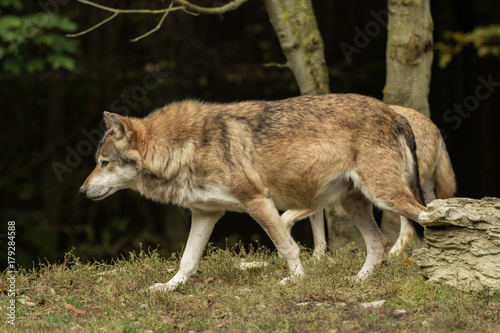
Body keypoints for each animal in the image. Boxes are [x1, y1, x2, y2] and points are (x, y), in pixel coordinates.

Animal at [80, 94, 428, 290]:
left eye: (104, 162)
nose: (82, 192)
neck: (185, 148)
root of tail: (396, 114)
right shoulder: (206, 214)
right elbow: (187, 260)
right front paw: (169, 287)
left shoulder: (258, 201)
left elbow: (288, 248)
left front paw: (296, 281)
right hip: (355, 203)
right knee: (379, 242)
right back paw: (358, 281)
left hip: (385, 195)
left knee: (425, 216)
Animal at [282, 105, 458, 255]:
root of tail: (434, 127)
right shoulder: (314, 200)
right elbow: (319, 239)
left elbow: (284, 221)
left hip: (392, 192)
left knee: (411, 226)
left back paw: (392, 258)